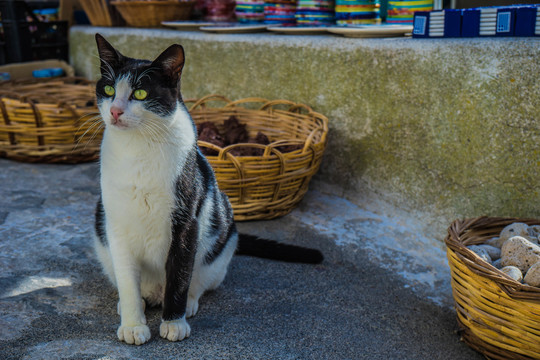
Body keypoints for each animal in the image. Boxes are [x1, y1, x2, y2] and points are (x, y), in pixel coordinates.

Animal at [92, 34, 324, 346]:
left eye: (139, 94)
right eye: (108, 89)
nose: (115, 111)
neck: (138, 147)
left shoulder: (187, 223)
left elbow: (179, 274)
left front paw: (174, 322)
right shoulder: (116, 222)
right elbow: (128, 280)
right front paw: (132, 324)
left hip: (222, 233)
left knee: (199, 279)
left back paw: (187, 303)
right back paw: (137, 301)